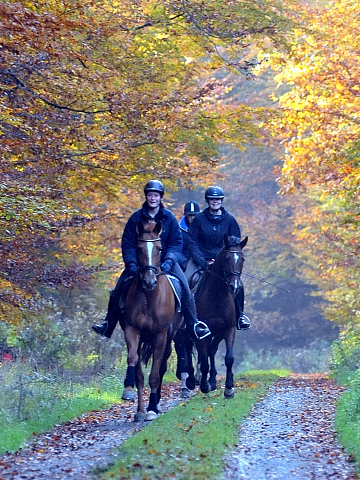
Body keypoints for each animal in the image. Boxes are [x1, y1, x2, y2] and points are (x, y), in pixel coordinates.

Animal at [120, 219, 183, 422]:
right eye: (139, 248)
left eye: (159, 248)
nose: (150, 281)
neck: (149, 297)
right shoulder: (132, 330)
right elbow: (134, 363)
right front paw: (130, 393)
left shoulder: (160, 335)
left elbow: (155, 373)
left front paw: (152, 410)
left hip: (169, 336)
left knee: (161, 367)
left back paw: (154, 405)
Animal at [194, 235, 248, 398]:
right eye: (226, 258)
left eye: (242, 259)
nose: (235, 287)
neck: (217, 296)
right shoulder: (203, 332)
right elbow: (203, 359)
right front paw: (204, 385)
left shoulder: (229, 329)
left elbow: (229, 358)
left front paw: (229, 388)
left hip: (218, 333)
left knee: (211, 350)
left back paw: (212, 381)